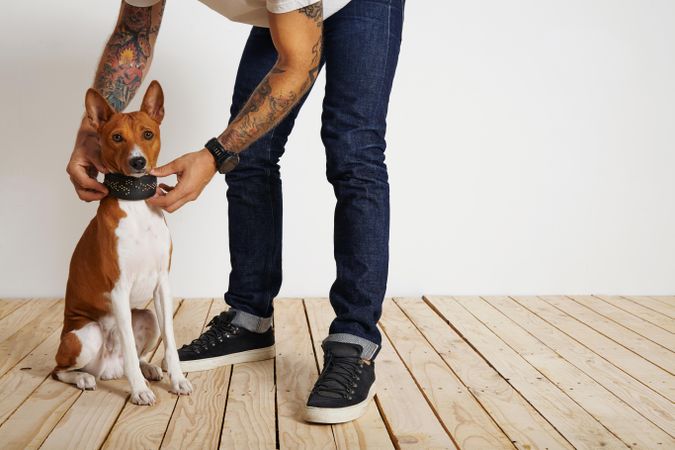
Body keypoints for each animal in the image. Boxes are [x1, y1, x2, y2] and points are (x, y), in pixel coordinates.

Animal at [51, 81, 190, 404]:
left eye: (148, 134)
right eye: (117, 137)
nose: (138, 161)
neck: (136, 203)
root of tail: (108, 370)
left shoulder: (162, 283)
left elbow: (171, 342)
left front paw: (176, 379)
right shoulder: (118, 289)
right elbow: (127, 344)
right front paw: (139, 390)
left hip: (148, 317)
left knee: (135, 355)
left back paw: (148, 367)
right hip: (85, 334)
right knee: (59, 369)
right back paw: (85, 378)